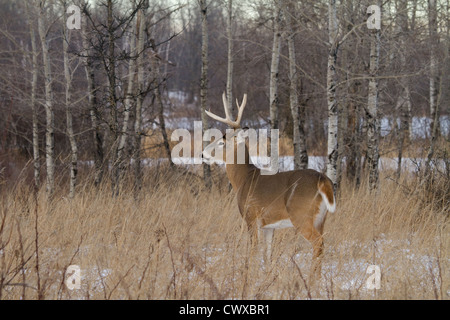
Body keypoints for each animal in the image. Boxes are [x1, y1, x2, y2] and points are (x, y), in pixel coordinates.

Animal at [202, 92, 336, 278]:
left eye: (222, 142)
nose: (203, 153)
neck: (244, 179)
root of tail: (323, 179)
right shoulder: (268, 225)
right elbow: (268, 255)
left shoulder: (251, 216)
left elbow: (254, 249)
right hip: (321, 218)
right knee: (322, 244)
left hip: (301, 216)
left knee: (318, 243)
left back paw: (311, 278)